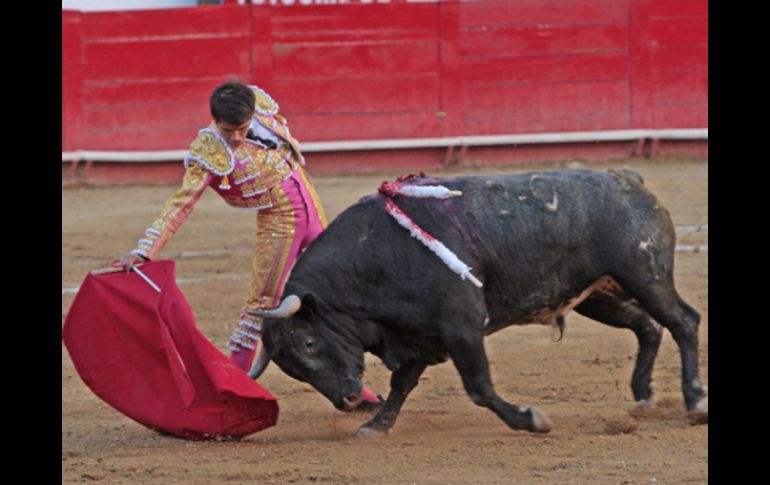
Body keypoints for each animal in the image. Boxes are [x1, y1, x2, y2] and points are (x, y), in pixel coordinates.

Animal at [260, 168, 704, 436]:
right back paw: (643, 396)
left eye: (310, 343)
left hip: (645, 275)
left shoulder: (461, 326)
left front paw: (530, 419)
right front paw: (378, 425)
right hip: (598, 295)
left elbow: (478, 385)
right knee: (648, 326)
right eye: (293, 369)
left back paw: (695, 402)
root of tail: (627, 178)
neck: (376, 257)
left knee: (683, 321)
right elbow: (401, 384)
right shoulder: (420, 335)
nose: (348, 400)